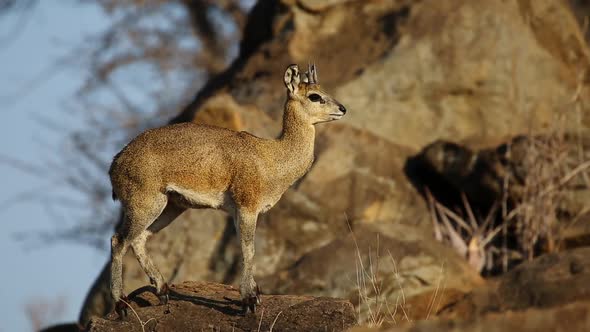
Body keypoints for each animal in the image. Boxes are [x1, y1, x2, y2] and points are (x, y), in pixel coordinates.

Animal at [108, 64, 346, 316]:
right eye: (314, 96)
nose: (342, 109)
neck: (273, 157)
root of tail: (115, 163)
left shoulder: (236, 212)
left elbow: (244, 248)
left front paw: (255, 294)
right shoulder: (247, 207)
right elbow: (248, 249)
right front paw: (248, 300)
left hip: (171, 207)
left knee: (138, 239)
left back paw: (163, 291)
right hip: (146, 204)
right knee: (118, 240)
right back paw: (121, 303)